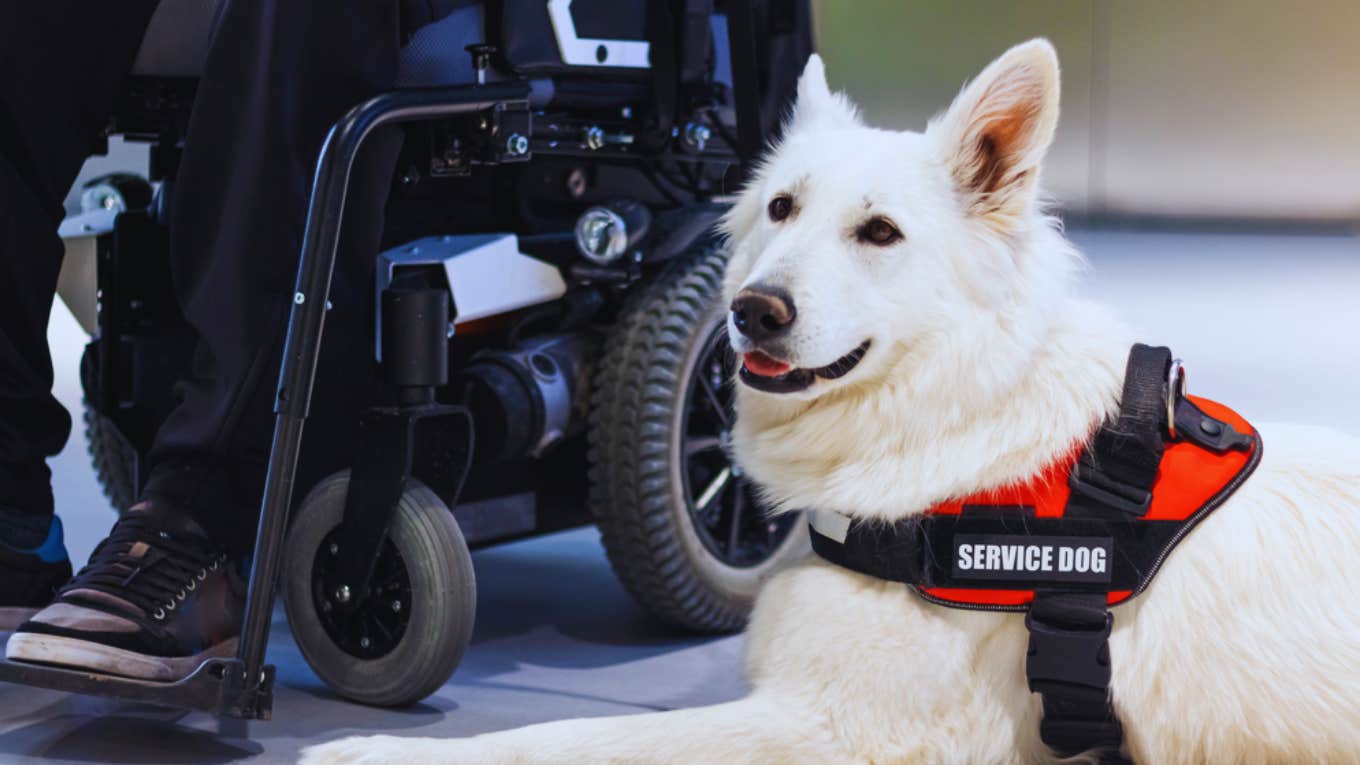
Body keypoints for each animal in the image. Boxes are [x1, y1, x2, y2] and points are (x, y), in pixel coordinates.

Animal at [306, 38, 1360, 756]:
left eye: (880, 232)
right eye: (781, 209)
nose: (750, 311)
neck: (949, 421)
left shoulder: (831, 727)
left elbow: (554, 740)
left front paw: (367, 748)